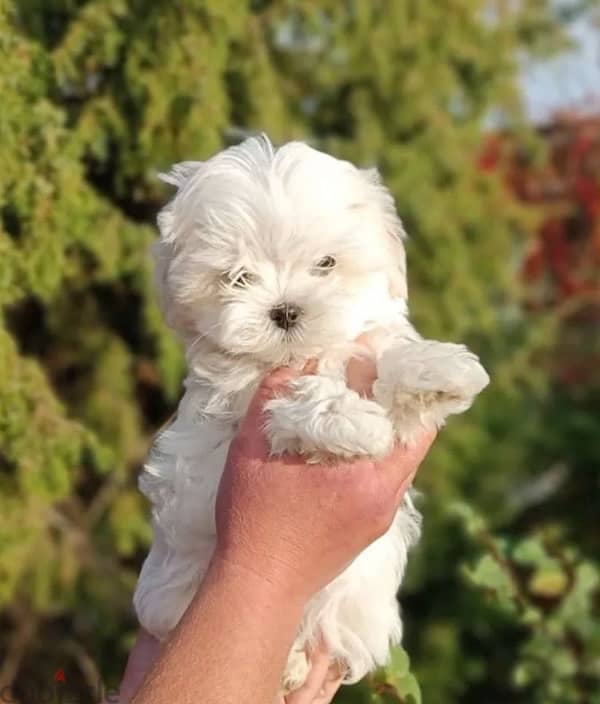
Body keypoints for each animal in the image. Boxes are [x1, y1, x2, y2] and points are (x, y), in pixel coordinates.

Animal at [134, 133, 490, 692]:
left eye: (326, 264)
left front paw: (437, 371)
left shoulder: (364, 343)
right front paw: (353, 423)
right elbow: (298, 397)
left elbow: (389, 351)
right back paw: (290, 667)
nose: (285, 311)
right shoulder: (241, 401)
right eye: (238, 277)